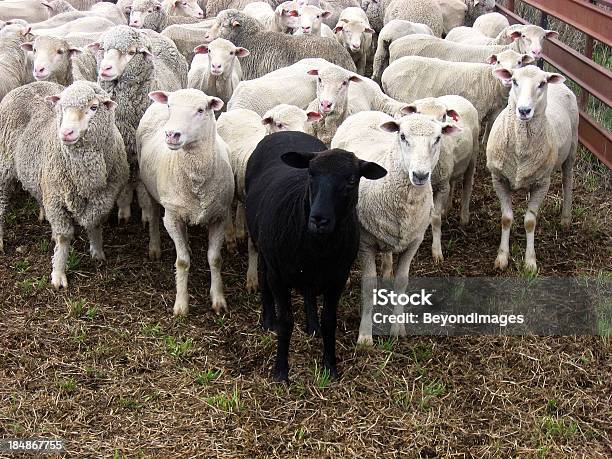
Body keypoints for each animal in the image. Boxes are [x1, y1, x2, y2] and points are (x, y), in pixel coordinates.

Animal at [0, 79, 128, 288]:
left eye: (94, 107)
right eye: (62, 107)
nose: (66, 133)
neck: (85, 177)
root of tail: (29, 84)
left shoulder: (104, 197)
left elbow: (95, 223)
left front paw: (97, 253)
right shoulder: (56, 200)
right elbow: (63, 237)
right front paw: (58, 274)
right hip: (4, 168)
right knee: (2, 206)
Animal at [137, 89, 233, 316]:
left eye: (201, 110)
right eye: (170, 106)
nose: (172, 134)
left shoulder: (220, 216)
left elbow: (215, 259)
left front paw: (218, 299)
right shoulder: (172, 217)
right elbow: (181, 262)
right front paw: (181, 304)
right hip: (151, 190)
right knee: (153, 215)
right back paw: (154, 247)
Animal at [245, 131, 384, 382]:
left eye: (352, 180)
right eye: (311, 174)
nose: (319, 219)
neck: (319, 247)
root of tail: (286, 132)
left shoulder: (338, 278)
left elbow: (330, 321)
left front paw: (330, 367)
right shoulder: (278, 276)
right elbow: (286, 322)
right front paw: (281, 372)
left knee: (309, 292)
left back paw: (313, 327)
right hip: (262, 246)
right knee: (263, 276)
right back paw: (268, 320)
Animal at [330, 111, 460, 344]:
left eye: (438, 138)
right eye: (402, 136)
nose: (420, 175)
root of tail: (366, 112)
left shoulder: (414, 242)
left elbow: (402, 283)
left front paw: (398, 328)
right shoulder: (365, 243)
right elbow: (368, 286)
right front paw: (365, 336)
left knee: (388, 251)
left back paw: (387, 270)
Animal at [486, 65, 576, 274]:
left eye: (542, 84)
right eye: (514, 81)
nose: (524, 110)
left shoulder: (542, 184)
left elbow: (530, 221)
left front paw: (530, 262)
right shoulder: (498, 179)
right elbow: (506, 218)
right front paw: (502, 257)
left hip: (572, 149)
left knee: (567, 181)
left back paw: (565, 218)